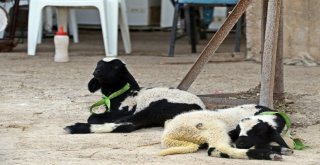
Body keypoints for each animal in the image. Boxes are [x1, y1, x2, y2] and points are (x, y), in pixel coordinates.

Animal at [63, 57, 206, 133]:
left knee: (128, 125)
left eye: (116, 67)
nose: (96, 71)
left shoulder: (125, 110)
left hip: (155, 108)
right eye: (98, 64)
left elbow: (92, 117)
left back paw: (74, 127)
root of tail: (199, 109)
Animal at [159, 104, 292, 160]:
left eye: (258, 132)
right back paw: (269, 155)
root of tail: (168, 133)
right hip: (214, 128)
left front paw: (282, 148)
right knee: (218, 149)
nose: (239, 143)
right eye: (239, 130)